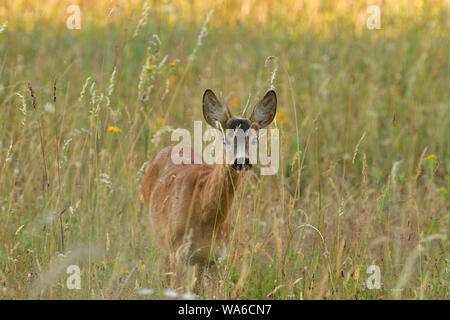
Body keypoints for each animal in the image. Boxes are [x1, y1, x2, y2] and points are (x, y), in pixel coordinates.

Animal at [144, 89, 276, 282]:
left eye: (254, 140)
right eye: (225, 140)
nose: (241, 161)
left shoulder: (214, 258)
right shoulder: (177, 251)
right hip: (161, 242)